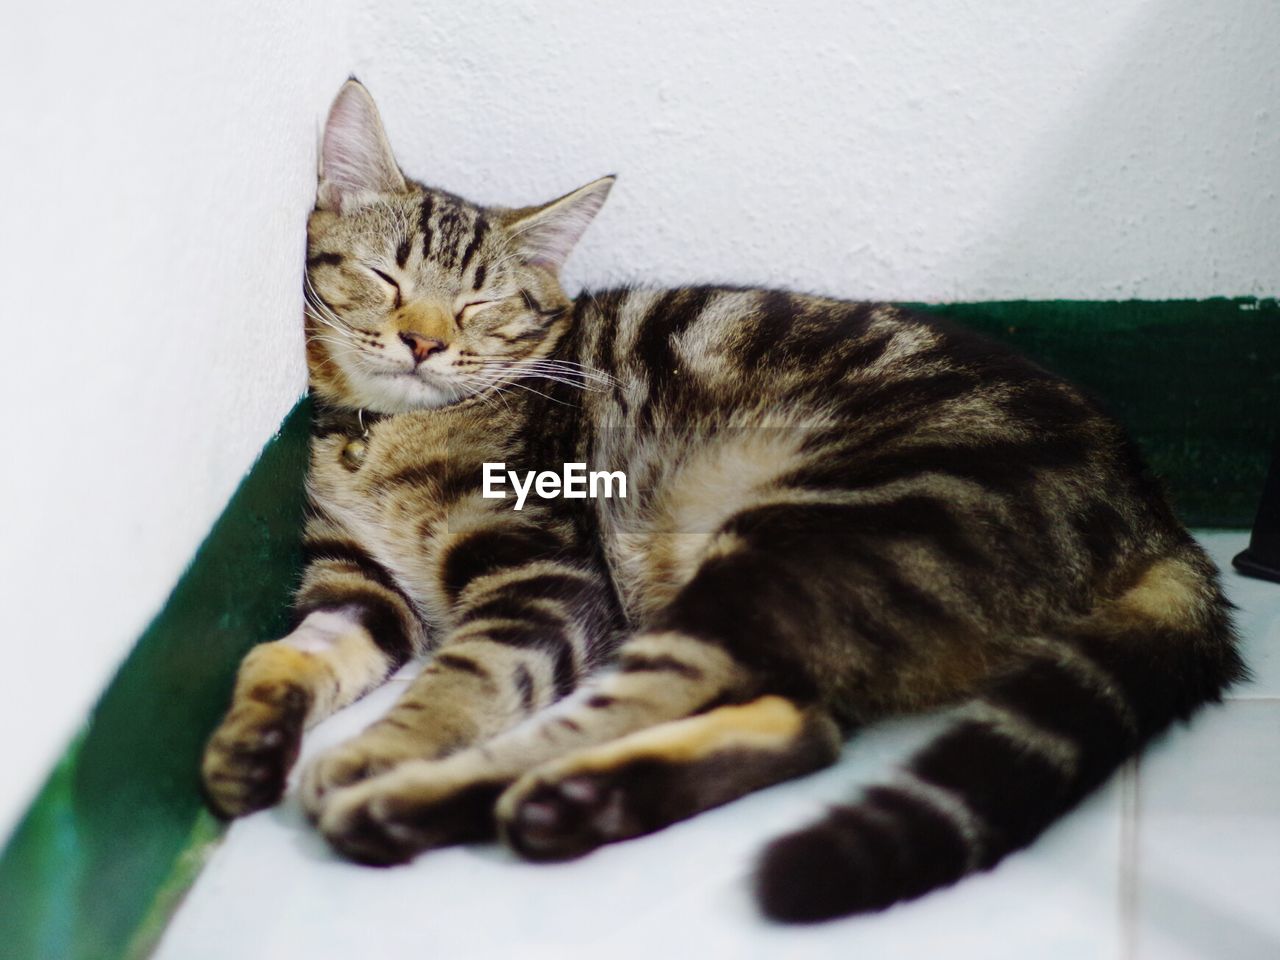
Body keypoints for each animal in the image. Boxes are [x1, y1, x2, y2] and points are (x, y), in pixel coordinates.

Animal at [204, 82, 1244, 926]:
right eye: (385, 276)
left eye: (482, 306)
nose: (422, 342)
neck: (383, 440)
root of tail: (1151, 506)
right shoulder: (357, 589)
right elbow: (285, 654)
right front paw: (250, 744)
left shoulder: (545, 577)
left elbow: (465, 680)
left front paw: (385, 749)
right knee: (805, 726)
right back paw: (573, 806)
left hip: (797, 542)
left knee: (636, 703)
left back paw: (413, 803)